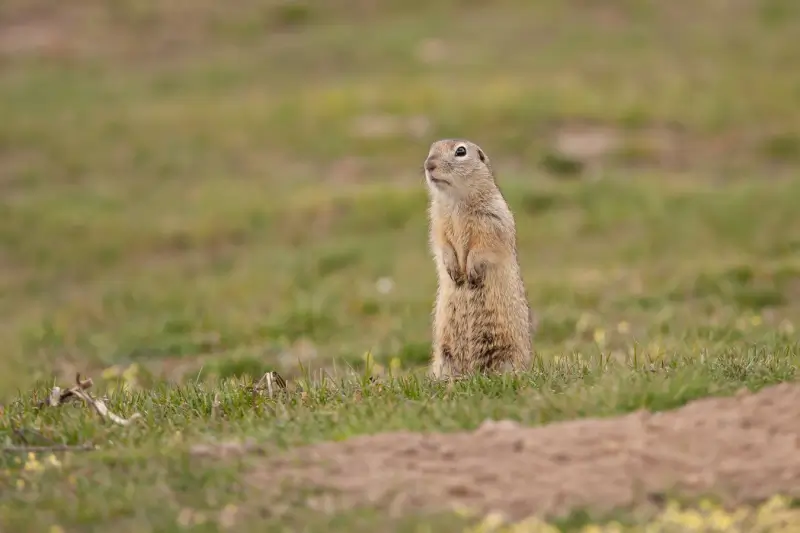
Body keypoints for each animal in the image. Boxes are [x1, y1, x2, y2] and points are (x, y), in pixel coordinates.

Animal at [422, 138, 536, 378]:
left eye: (461, 151)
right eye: (431, 149)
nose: (429, 165)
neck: (456, 201)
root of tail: (471, 371)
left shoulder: (492, 219)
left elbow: (485, 245)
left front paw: (471, 271)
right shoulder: (437, 221)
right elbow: (441, 243)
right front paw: (454, 269)